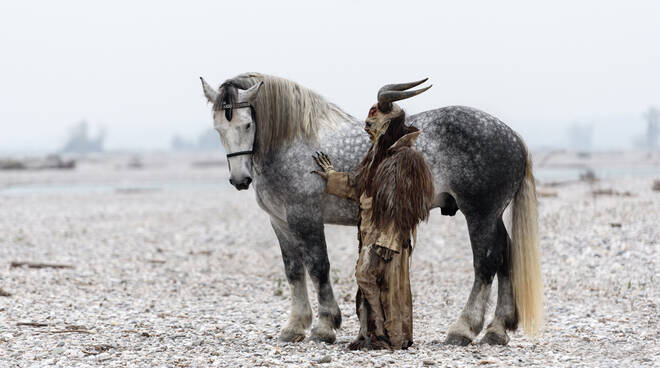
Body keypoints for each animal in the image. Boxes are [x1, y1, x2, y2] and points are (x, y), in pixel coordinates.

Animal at [201, 73, 540, 346]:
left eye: (247, 124)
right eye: (218, 128)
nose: (240, 180)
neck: (293, 144)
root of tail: (513, 136)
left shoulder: (305, 218)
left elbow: (318, 267)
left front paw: (324, 326)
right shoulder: (280, 222)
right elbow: (294, 271)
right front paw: (294, 327)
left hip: (480, 214)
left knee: (486, 262)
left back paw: (464, 329)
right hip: (492, 215)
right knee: (505, 256)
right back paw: (497, 330)